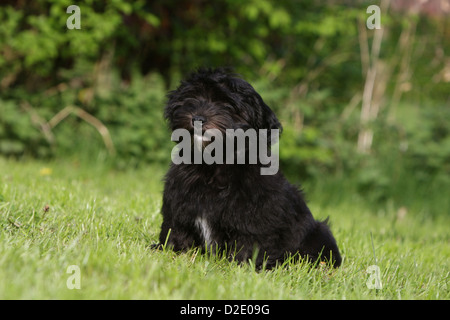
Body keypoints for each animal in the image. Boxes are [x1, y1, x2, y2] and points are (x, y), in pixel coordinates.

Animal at [156, 69, 342, 268]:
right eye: (191, 98)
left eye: (228, 105)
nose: (198, 118)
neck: (213, 165)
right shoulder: (179, 204)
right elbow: (175, 228)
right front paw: (168, 250)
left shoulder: (255, 217)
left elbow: (249, 242)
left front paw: (241, 266)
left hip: (319, 233)